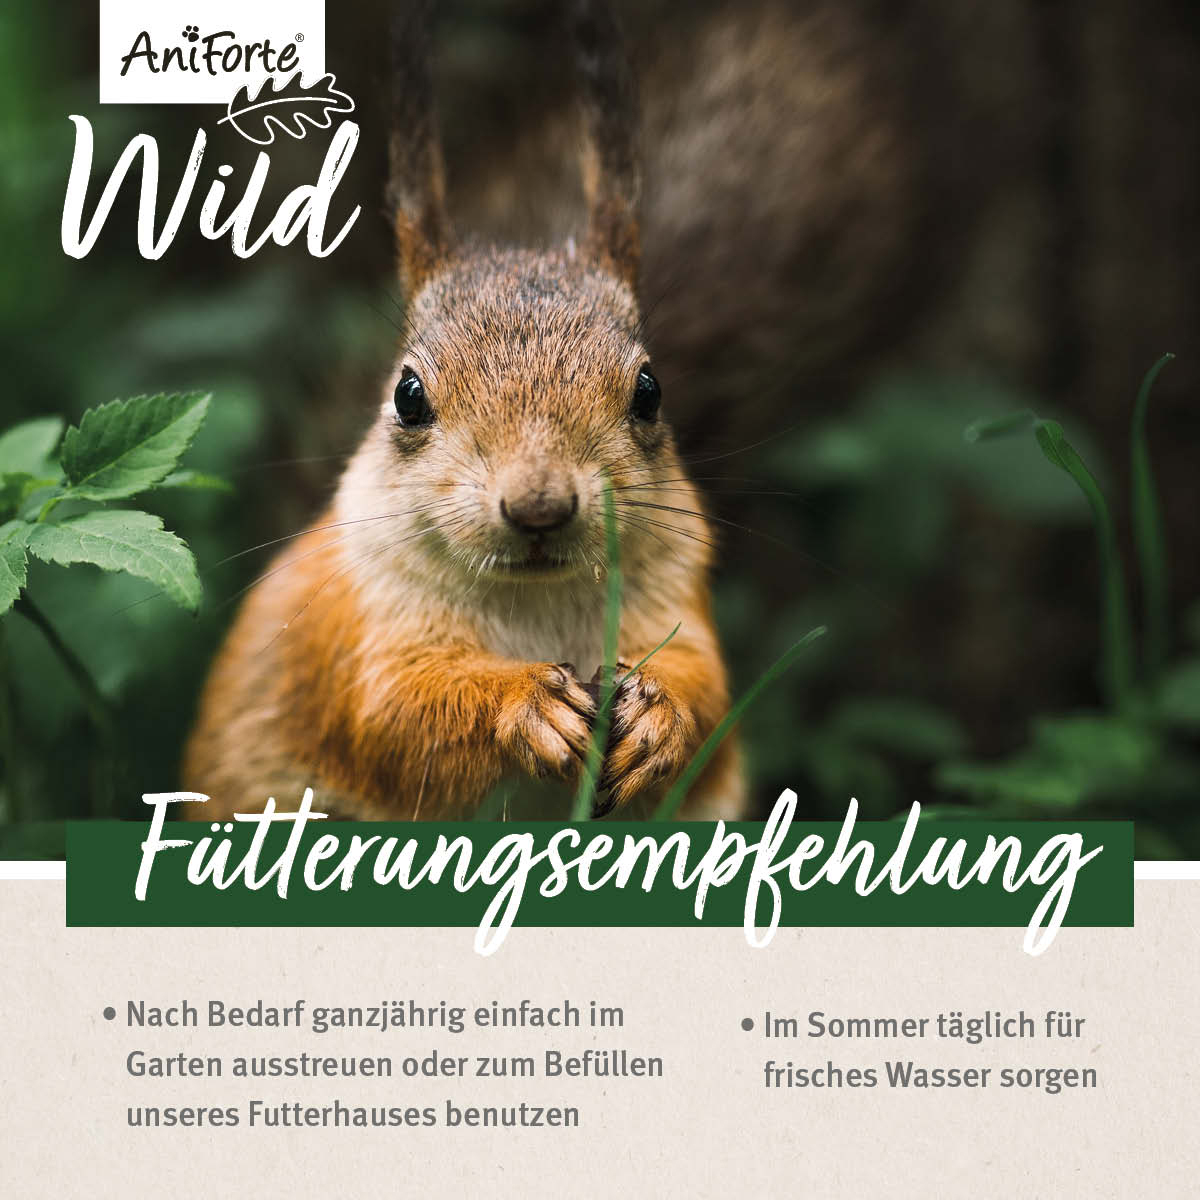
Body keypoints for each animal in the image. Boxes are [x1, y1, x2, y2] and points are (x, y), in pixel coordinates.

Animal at [182, 0, 744, 821]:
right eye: (408, 395)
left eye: (649, 390)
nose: (539, 508)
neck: (532, 602)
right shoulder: (358, 636)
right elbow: (397, 715)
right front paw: (525, 703)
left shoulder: (681, 590)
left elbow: (711, 696)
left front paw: (659, 719)